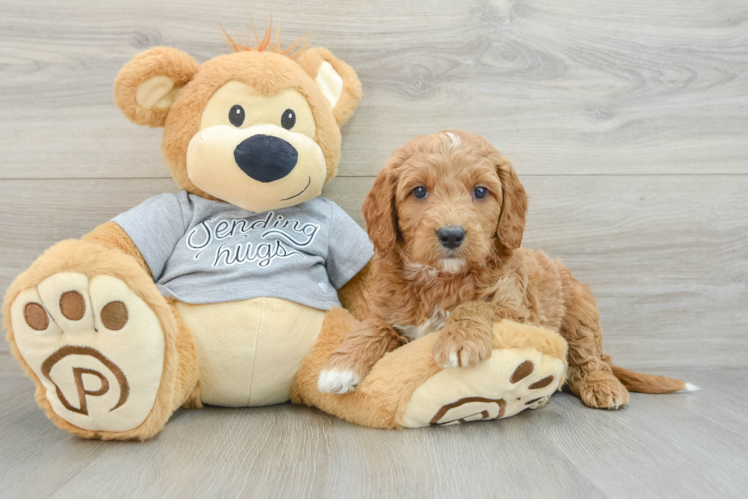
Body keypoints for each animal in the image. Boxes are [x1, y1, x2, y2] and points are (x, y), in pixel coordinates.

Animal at [318, 130, 696, 410]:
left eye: (480, 191)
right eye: (419, 191)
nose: (451, 234)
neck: (441, 280)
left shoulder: (520, 312)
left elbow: (475, 305)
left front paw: (459, 340)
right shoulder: (392, 312)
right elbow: (373, 326)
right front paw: (340, 366)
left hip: (580, 310)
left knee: (589, 357)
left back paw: (604, 387)